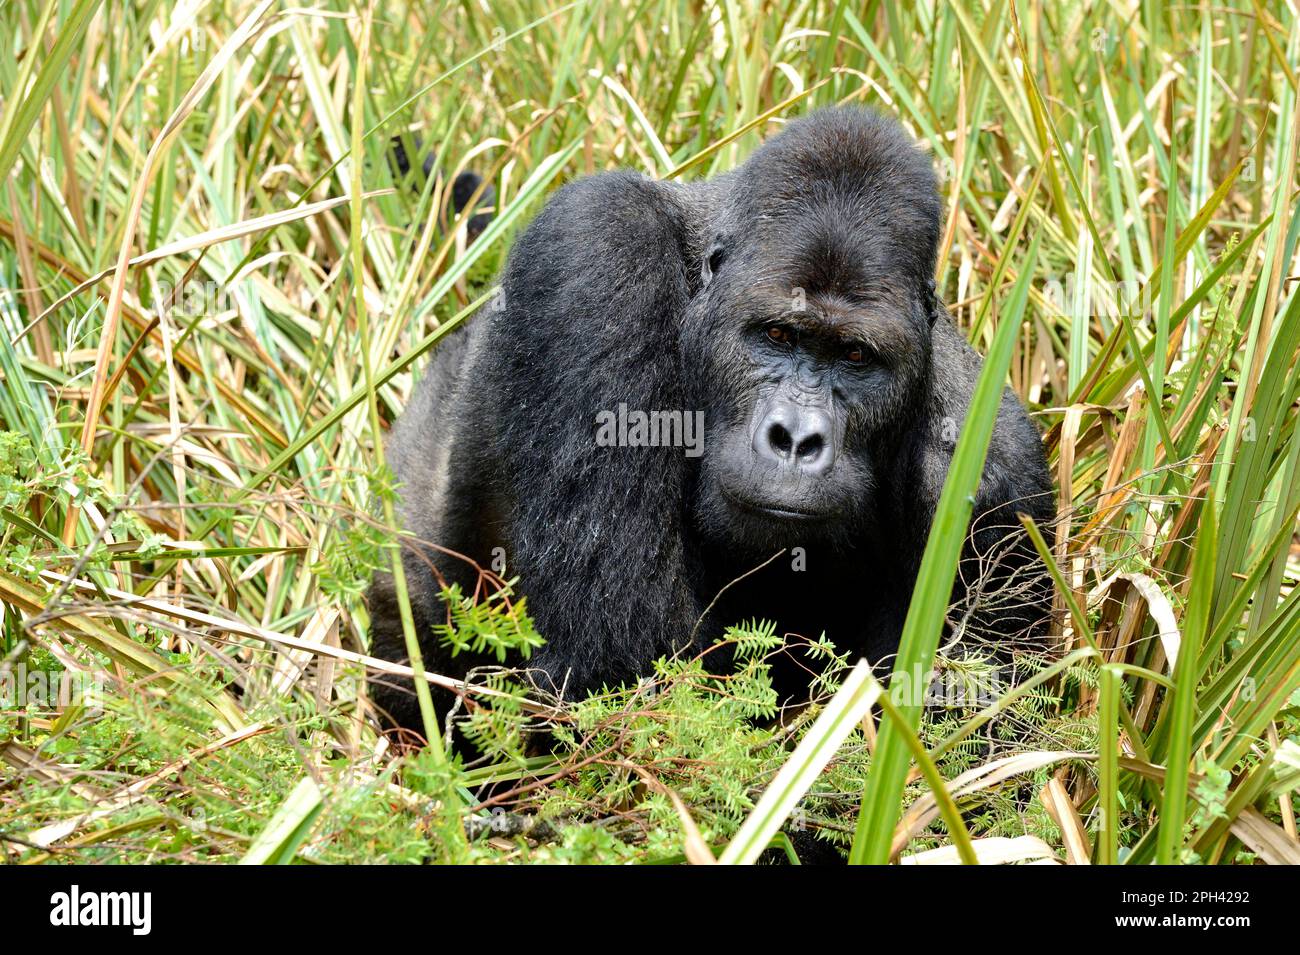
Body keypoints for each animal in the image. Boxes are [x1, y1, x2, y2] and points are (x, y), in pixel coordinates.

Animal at [369, 108, 1055, 727]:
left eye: (856, 356)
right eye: (777, 335)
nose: (796, 439)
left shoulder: (1000, 482)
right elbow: (624, 671)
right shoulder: (597, 249)